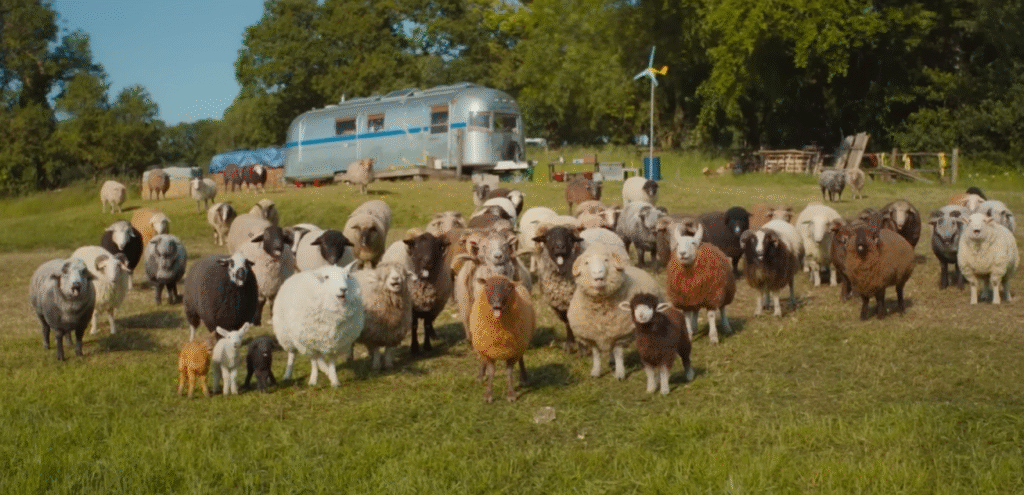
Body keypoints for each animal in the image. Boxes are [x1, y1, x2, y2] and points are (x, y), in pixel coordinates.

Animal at [568, 243, 664, 379]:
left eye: (606, 260)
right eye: (586, 262)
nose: (598, 273)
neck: (600, 306)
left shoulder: (621, 332)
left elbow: (618, 353)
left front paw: (620, 373)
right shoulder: (592, 334)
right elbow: (596, 354)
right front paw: (595, 372)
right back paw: (610, 360)